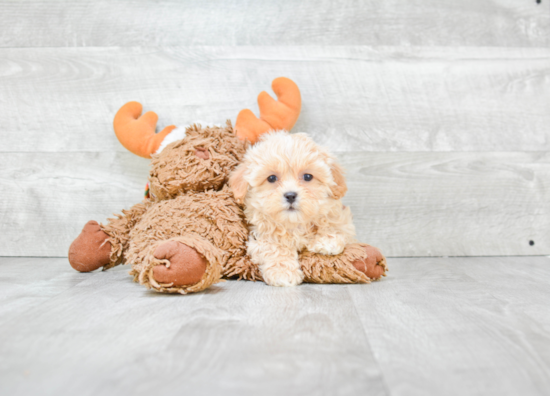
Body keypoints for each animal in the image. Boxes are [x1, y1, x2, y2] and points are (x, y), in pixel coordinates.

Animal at [230, 131, 356, 286]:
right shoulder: (260, 237)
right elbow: (275, 248)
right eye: (271, 178)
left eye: (307, 176)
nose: (290, 195)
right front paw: (282, 272)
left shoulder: (342, 220)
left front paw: (327, 240)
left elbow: (336, 226)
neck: (295, 223)